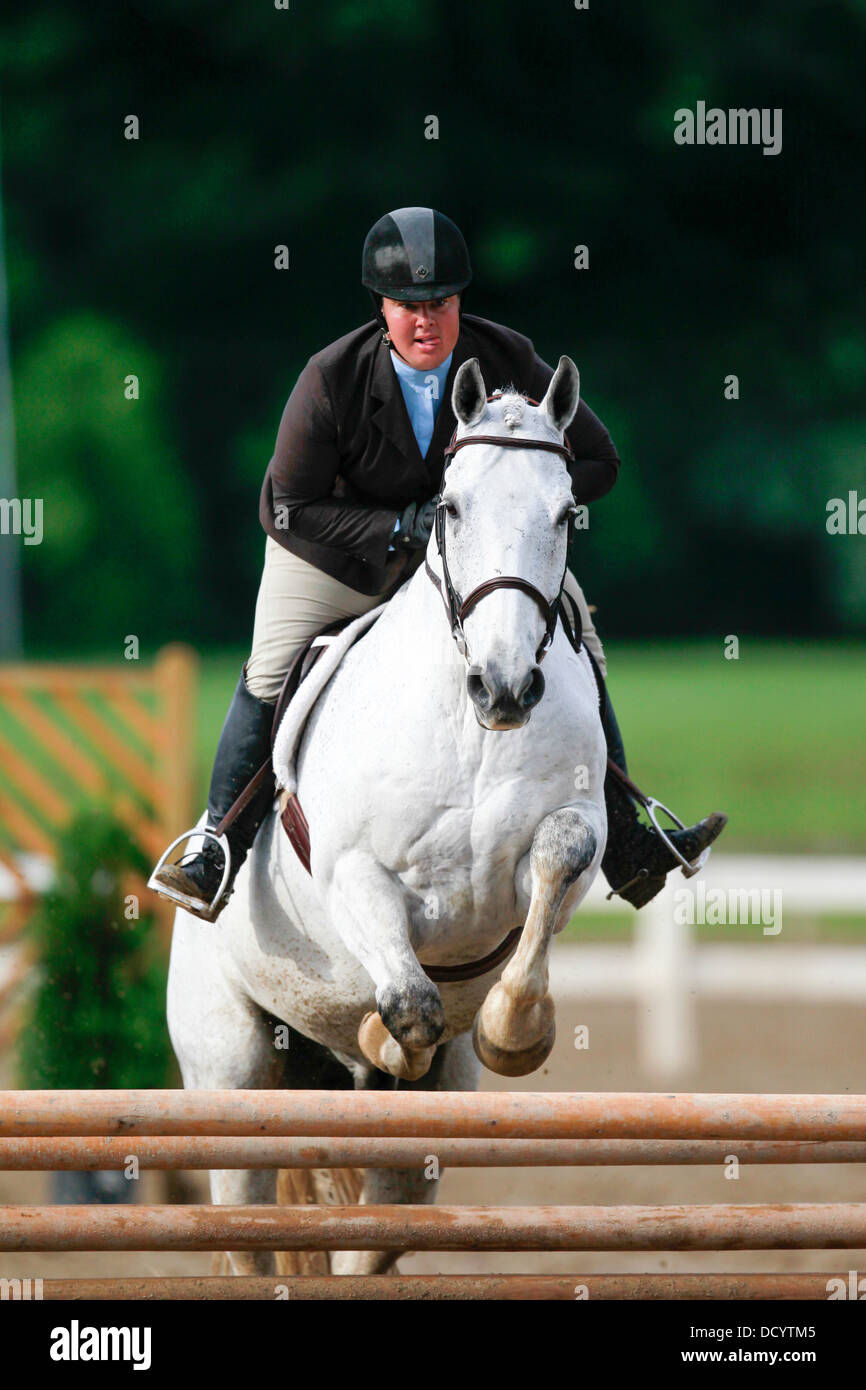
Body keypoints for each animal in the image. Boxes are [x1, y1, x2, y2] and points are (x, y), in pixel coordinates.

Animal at [166, 353, 608, 1276]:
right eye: (450, 507)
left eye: (564, 513)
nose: (504, 688)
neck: (472, 726)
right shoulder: (352, 874)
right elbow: (408, 1000)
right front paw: (383, 1032)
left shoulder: (571, 835)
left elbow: (558, 856)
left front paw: (516, 1028)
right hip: (230, 1074)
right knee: (246, 1228)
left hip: (416, 1140)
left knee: (369, 1237)